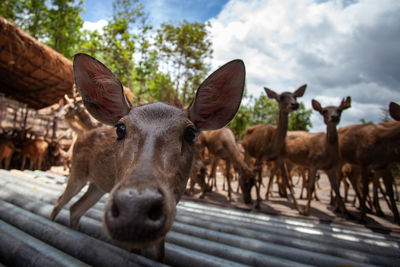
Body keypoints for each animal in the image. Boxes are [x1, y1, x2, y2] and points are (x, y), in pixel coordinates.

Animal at [49, 52, 244, 262]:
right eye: (120, 128)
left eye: (191, 132)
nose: (134, 208)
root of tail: (79, 137)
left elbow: (160, 253)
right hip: (77, 172)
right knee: (59, 203)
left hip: (98, 186)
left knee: (75, 209)